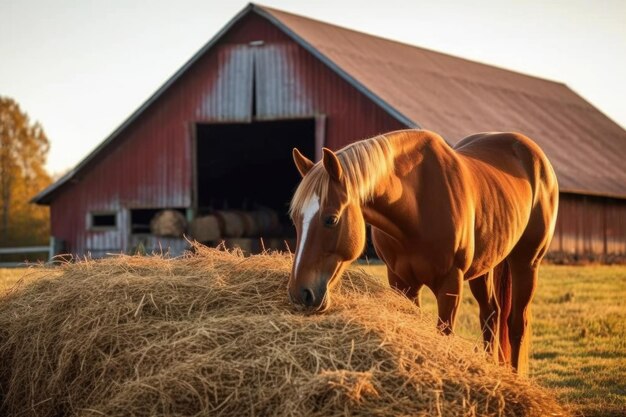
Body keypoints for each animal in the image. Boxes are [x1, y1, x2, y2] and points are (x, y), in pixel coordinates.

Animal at [286, 127, 556, 374]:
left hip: (526, 263)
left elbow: (444, 334)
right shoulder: (401, 281)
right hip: (484, 267)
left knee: (517, 324)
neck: (416, 204)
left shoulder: (450, 284)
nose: (301, 294)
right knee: (491, 315)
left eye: (330, 219)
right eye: (296, 220)